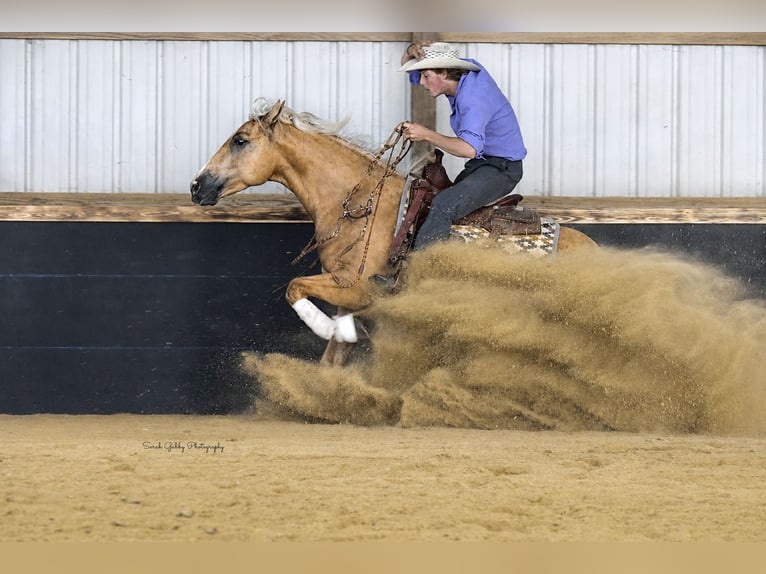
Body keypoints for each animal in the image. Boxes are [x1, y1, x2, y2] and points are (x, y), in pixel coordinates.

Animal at [191, 98, 597, 366]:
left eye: (240, 140)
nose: (197, 186)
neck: (358, 203)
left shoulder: (359, 287)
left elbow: (295, 287)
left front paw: (329, 329)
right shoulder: (344, 293)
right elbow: (332, 357)